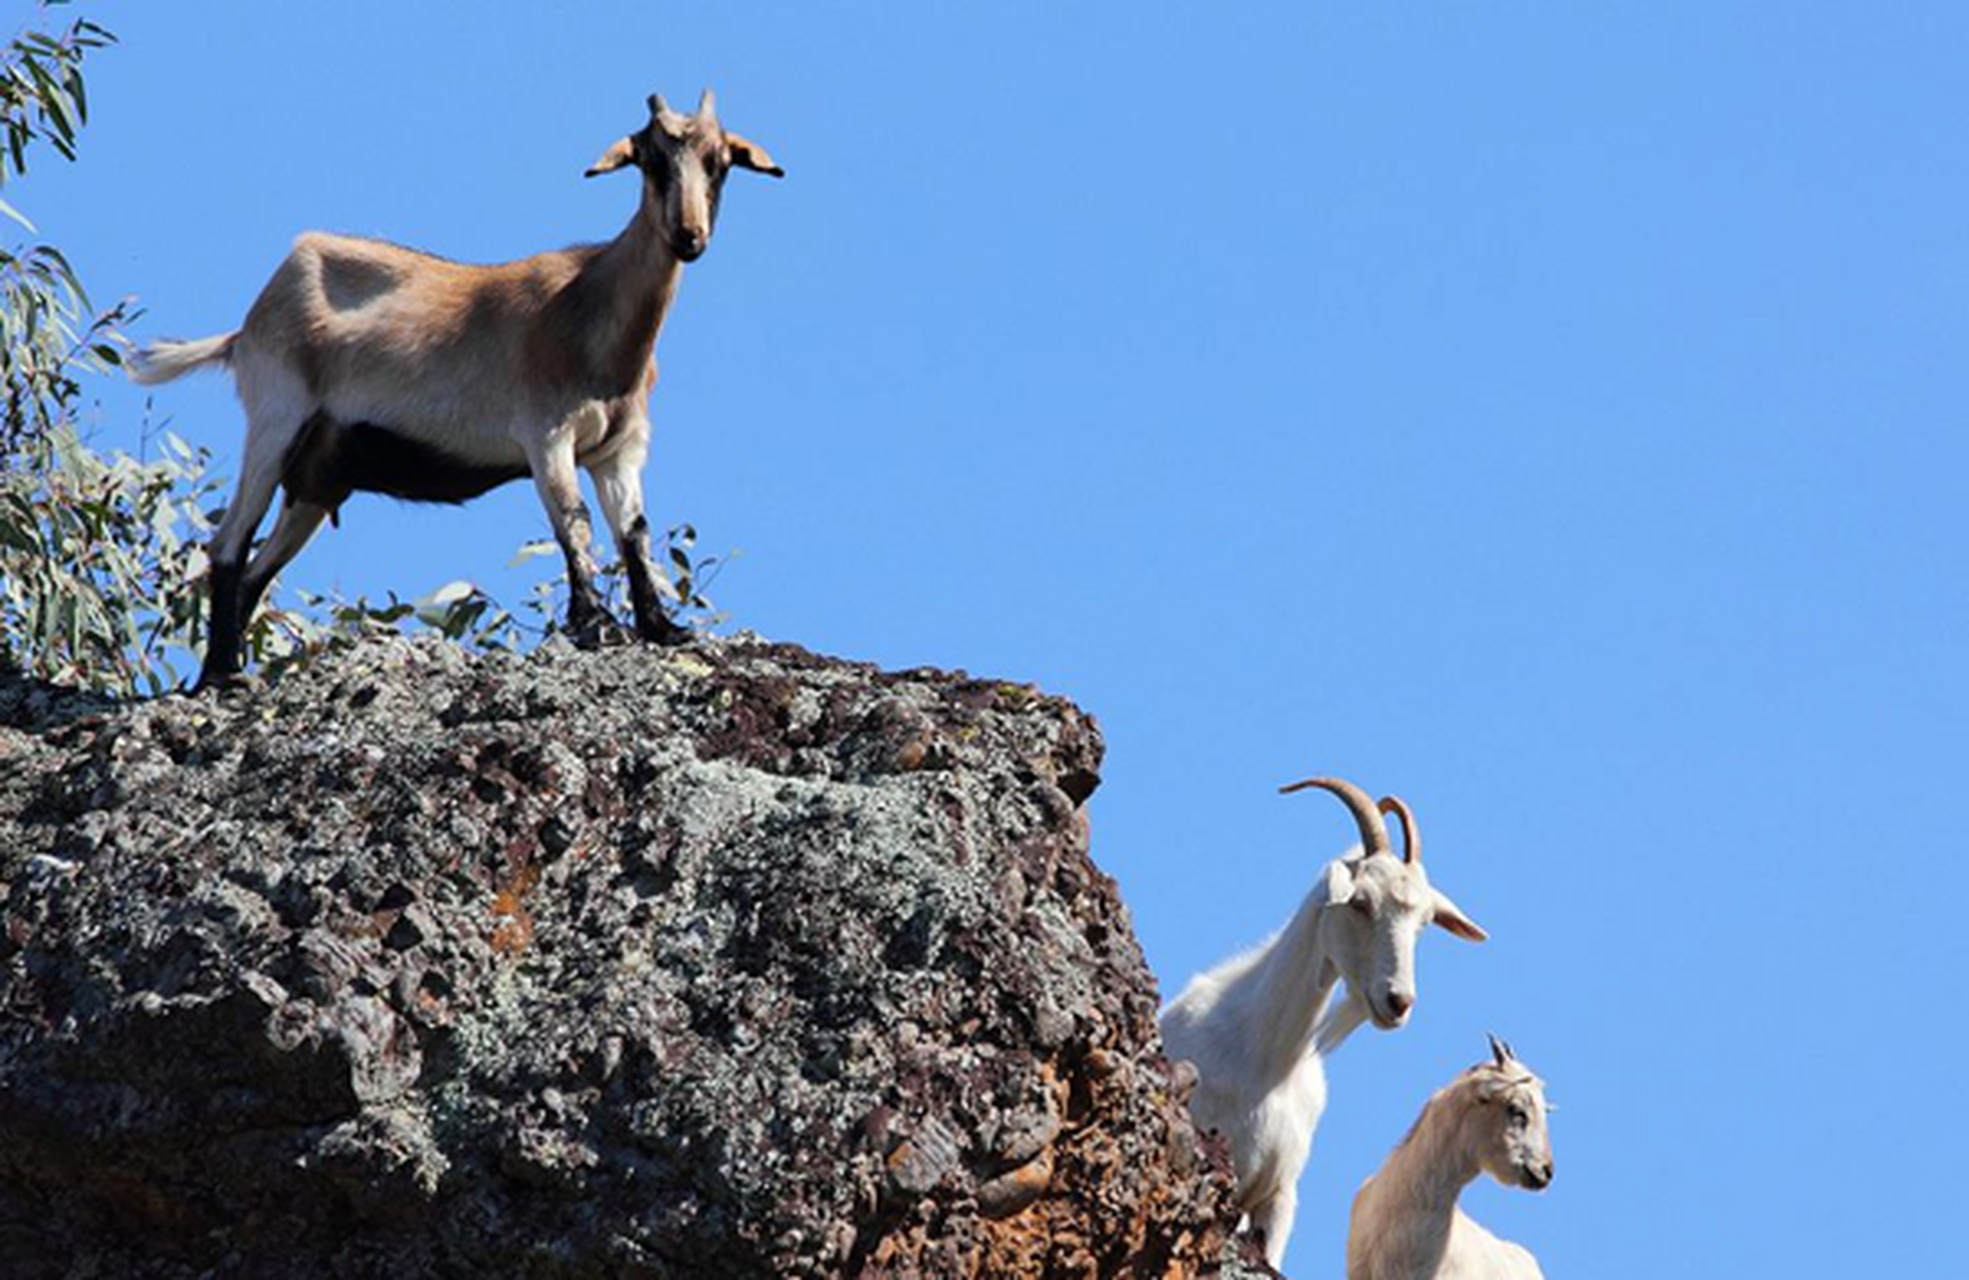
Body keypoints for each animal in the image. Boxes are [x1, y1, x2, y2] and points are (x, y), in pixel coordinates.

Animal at [123, 92, 779, 689]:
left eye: (719, 161)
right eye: (652, 159)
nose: (689, 236)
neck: (590, 308)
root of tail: (246, 328)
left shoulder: (620, 450)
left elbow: (635, 532)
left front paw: (662, 628)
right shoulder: (546, 433)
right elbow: (574, 520)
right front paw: (594, 624)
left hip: (318, 477)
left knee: (258, 570)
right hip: (276, 417)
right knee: (227, 543)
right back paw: (221, 676)